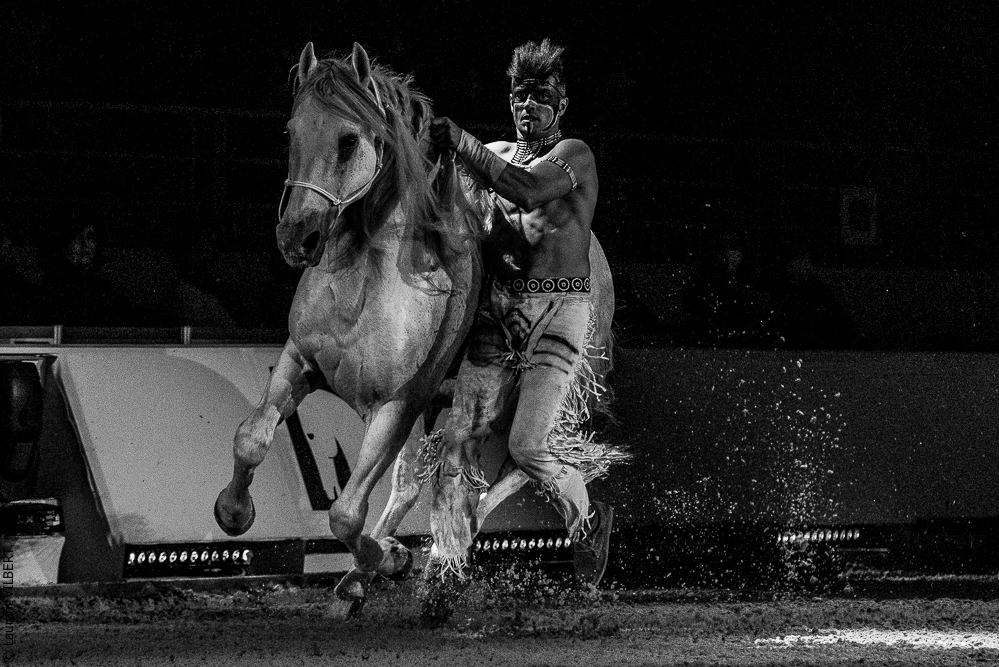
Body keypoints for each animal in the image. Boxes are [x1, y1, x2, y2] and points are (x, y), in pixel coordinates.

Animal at [214, 42, 616, 612]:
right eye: (292, 132)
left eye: (348, 139)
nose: (298, 237)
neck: (366, 286)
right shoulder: (301, 361)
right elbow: (252, 437)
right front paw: (233, 512)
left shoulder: (396, 405)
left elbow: (346, 513)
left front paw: (389, 558)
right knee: (427, 482)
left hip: (535, 399)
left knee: (517, 465)